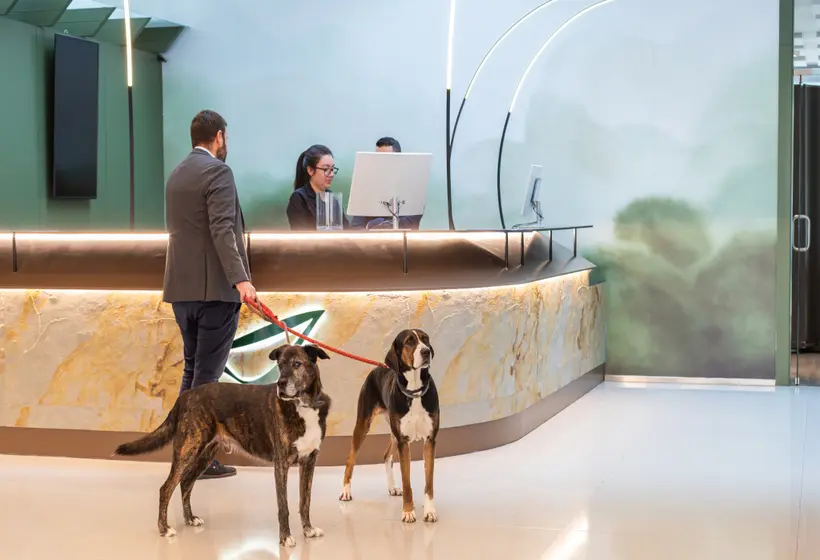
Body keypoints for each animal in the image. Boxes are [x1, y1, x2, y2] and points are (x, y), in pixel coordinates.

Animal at [114, 344, 331, 547]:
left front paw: (308, 529)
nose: (281, 384)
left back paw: (190, 518)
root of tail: (184, 397)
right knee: (166, 488)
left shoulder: (309, 461)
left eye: (297, 364)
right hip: (188, 449)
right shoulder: (281, 464)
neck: (303, 405)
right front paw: (285, 537)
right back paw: (164, 528)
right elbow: (283, 506)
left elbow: (305, 501)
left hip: (205, 454)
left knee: (186, 483)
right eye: (280, 365)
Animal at [339, 329, 440, 523]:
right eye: (409, 341)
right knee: (350, 458)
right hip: (363, 424)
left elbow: (429, 483)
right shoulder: (403, 442)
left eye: (425, 339)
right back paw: (346, 491)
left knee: (386, 456)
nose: (425, 351)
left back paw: (392, 487)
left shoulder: (430, 440)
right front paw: (408, 511)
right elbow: (407, 483)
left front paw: (430, 511)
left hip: (394, 432)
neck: (414, 391)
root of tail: (379, 366)